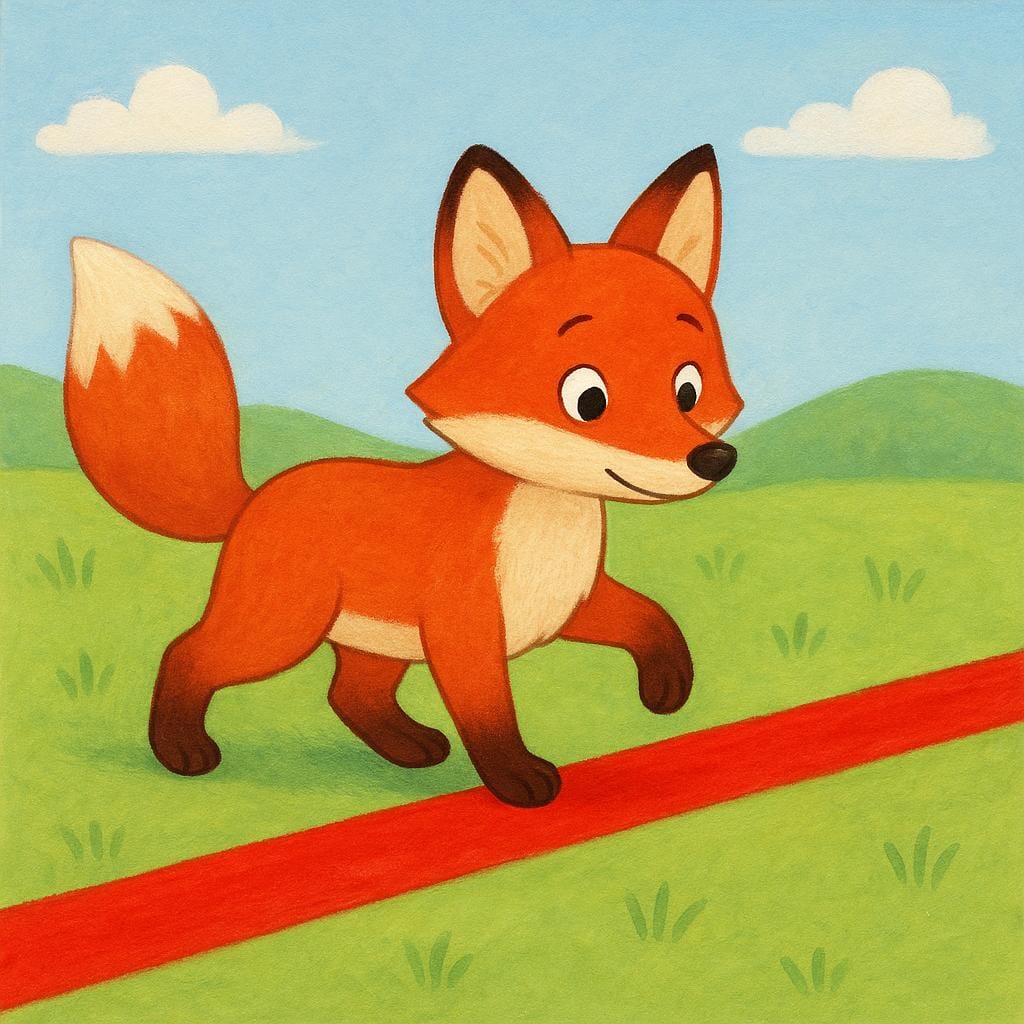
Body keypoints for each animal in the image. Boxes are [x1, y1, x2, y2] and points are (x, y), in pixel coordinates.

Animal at [63, 144, 743, 807]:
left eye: (688, 388)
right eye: (588, 398)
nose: (713, 459)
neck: (546, 519)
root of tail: (256, 497)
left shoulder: (571, 602)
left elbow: (651, 619)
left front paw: (669, 687)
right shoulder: (464, 633)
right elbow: (489, 714)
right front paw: (516, 779)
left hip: (374, 644)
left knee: (349, 694)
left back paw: (409, 746)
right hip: (278, 630)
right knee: (188, 653)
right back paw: (181, 751)